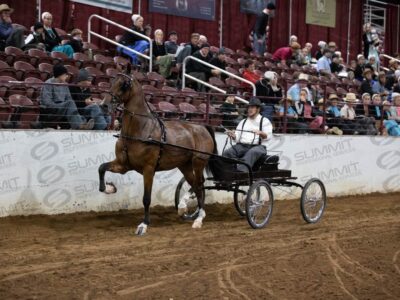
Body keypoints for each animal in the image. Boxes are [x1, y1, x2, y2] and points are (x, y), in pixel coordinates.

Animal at [97, 74, 216, 236]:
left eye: (124, 84)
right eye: (111, 82)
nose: (104, 105)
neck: (139, 130)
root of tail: (202, 127)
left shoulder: (148, 169)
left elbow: (146, 198)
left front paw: (144, 225)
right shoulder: (123, 165)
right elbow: (101, 168)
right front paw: (109, 188)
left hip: (198, 163)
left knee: (199, 185)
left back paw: (199, 218)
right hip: (184, 166)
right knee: (195, 186)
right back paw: (186, 209)